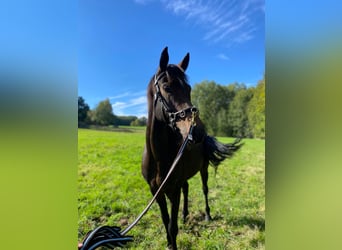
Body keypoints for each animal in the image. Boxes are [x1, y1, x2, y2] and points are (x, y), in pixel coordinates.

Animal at [140, 47, 242, 250]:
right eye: (167, 87)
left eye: (188, 89)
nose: (198, 132)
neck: (158, 158)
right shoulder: (156, 192)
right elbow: (165, 220)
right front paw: (169, 244)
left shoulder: (173, 191)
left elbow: (172, 227)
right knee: (187, 188)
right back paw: (185, 215)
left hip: (203, 170)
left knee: (204, 190)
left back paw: (208, 215)